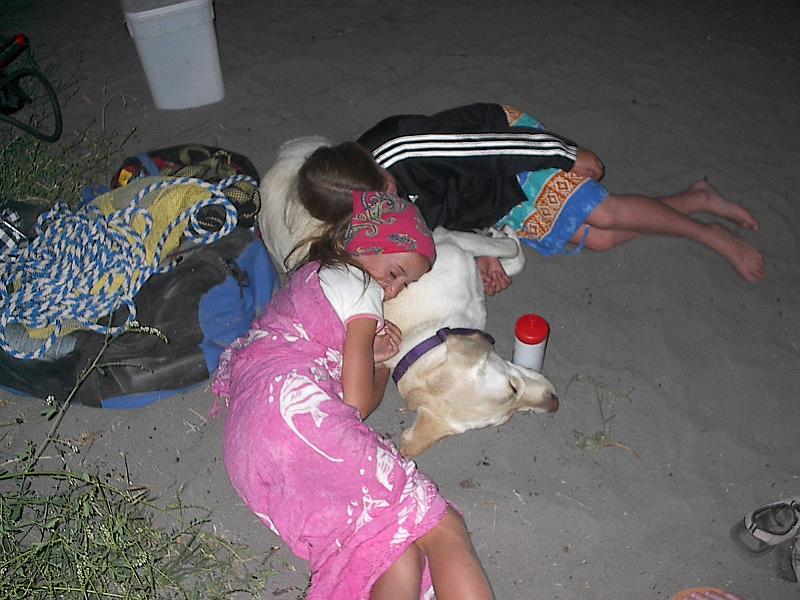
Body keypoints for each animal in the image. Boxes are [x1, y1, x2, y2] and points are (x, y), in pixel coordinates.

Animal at [258, 136, 558, 457]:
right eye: (512, 395)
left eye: (510, 406)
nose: (554, 402)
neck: (430, 331)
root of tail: (284, 162)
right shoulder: (450, 240)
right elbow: (511, 251)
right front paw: (507, 237)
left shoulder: (449, 242)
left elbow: (505, 257)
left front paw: (498, 253)